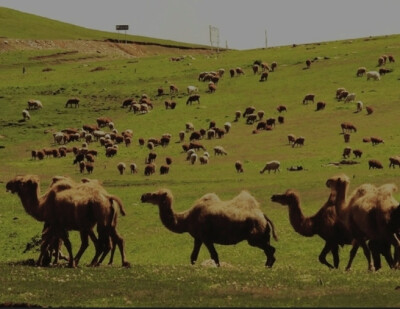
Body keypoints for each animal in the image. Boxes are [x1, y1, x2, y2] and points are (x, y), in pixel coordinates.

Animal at [141, 188, 278, 268]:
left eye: (154, 194)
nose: (143, 196)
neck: (186, 218)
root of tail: (264, 216)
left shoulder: (206, 237)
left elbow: (214, 255)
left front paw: (218, 269)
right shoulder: (198, 238)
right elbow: (193, 256)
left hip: (255, 238)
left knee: (270, 250)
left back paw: (266, 267)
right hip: (263, 236)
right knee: (270, 250)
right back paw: (267, 266)